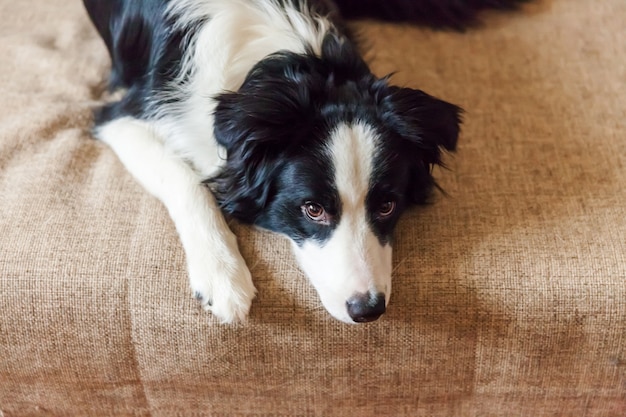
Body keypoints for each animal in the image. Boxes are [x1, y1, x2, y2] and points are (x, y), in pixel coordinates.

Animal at [81, 0, 520, 324]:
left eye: (387, 205)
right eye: (312, 209)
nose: (368, 310)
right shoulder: (120, 114)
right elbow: (184, 179)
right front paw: (222, 276)